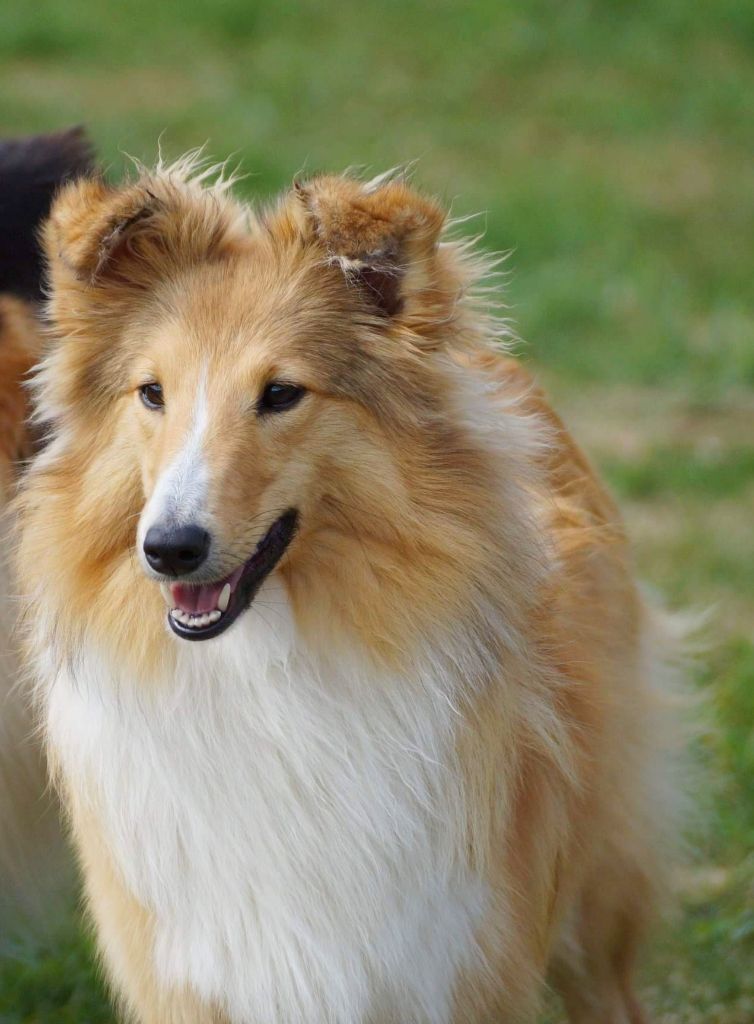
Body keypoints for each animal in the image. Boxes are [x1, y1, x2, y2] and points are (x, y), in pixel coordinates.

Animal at [13, 155, 684, 1019]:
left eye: (280, 393)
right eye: (151, 393)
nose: (167, 550)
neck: (268, 672)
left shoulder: (449, 957)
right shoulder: (192, 969)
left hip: (597, 884)